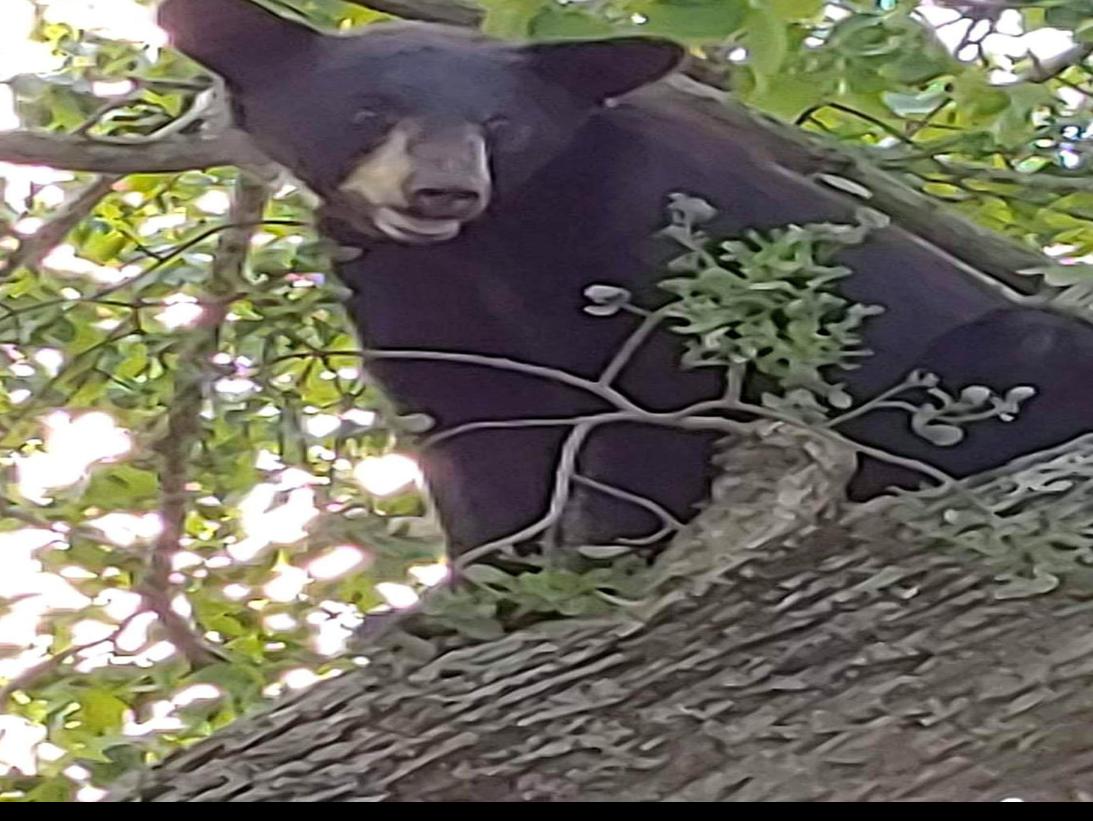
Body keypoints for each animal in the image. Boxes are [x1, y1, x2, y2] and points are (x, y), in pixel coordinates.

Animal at [158, 0, 1093, 560]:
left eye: (501, 122)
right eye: (367, 110)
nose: (443, 190)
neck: (489, 245)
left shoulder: (646, 221)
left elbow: (661, 403)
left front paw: (605, 550)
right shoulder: (404, 290)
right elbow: (474, 434)